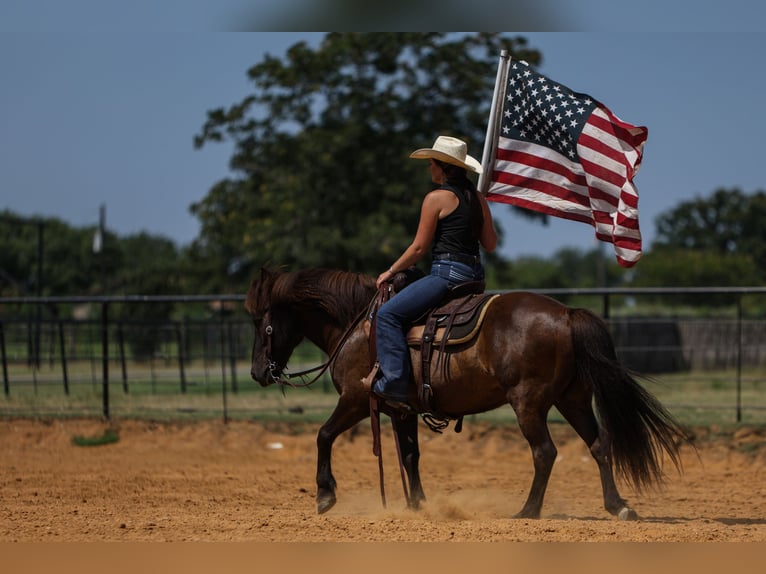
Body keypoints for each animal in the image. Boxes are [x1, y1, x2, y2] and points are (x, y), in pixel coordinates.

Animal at [246, 268, 688, 520]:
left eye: (260, 323)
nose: (256, 372)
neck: (358, 325)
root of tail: (566, 313)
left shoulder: (355, 400)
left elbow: (322, 435)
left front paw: (325, 496)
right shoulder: (401, 411)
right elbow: (410, 457)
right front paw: (418, 506)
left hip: (529, 403)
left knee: (545, 452)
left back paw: (528, 511)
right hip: (573, 399)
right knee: (599, 445)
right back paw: (618, 506)